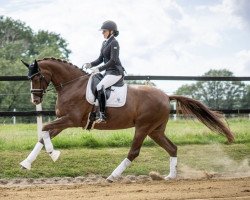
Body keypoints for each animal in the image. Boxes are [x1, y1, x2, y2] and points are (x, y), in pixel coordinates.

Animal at [20, 57, 234, 181]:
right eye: (29, 77)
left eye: (37, 76)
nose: (35, 100)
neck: (72, 85)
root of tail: (166, 96)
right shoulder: (64, 121)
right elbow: (44, 134)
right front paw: (27, 163)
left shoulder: (71, 120)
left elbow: (45, 129)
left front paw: (54, 154)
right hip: (155, 130)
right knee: (172, 148)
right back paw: (169, 177)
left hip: (143, 128)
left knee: (134, 152)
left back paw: (113, 176)